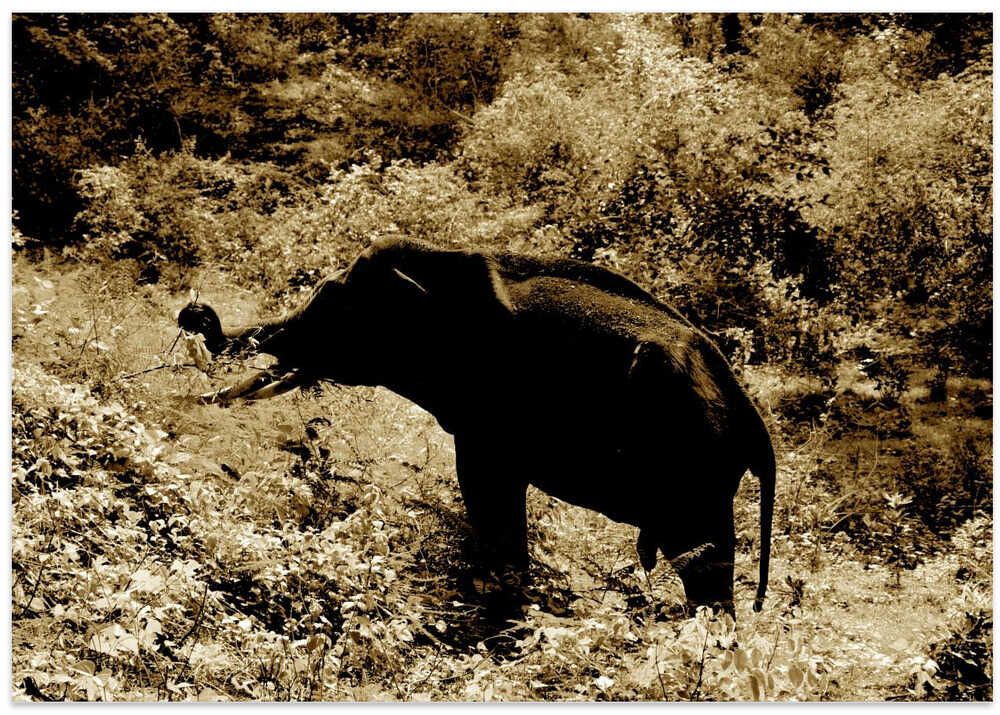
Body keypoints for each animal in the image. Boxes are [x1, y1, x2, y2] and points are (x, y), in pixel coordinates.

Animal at [178, 238, 776, 613]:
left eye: (331, 308)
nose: (195, 312)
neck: (438, 261)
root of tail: (753, 419)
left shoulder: (490, 406)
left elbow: (487, 487)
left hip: (692, 469)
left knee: (705, 567)